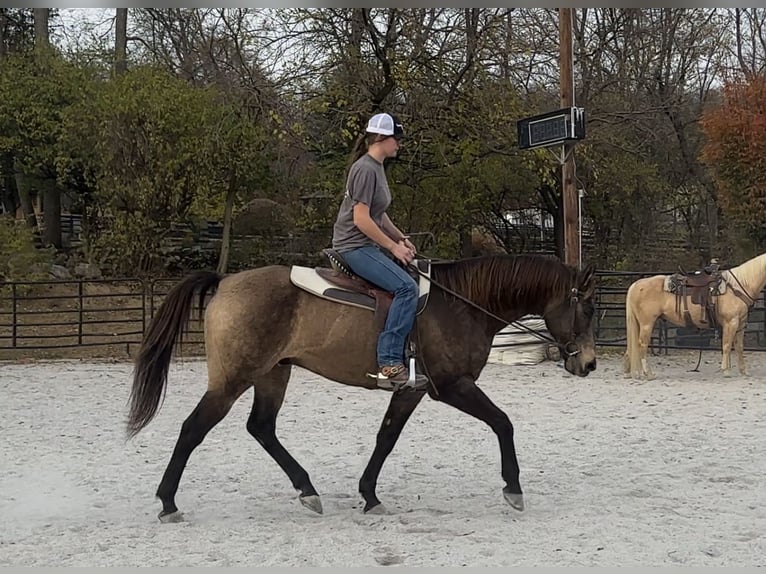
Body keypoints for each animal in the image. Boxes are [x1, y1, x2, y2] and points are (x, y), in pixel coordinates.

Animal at [126, 254, 600, 524]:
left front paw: (370, 495)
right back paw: (168, 502)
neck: (460, 303)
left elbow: (386, 437)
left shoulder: (411, 389)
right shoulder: (451, 386)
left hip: (273, 373)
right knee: (193, 429)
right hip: (232, 380)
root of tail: (226, 281)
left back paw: (307, 490)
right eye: (589, 307)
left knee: (261, 427)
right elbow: (503, 423)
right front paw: (513, 489)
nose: (589, 363)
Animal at [624, 253, 766, 380]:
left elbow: (739, 347)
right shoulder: (731, 322)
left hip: (639, 324)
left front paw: (744, 371)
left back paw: (628, 372)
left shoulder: (740, 324)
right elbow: (726, 346)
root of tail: (636, 285)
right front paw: (726, 371)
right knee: (642, 345)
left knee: (632, 346)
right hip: (647, 323)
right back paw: (648, 374)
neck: (738, 286)